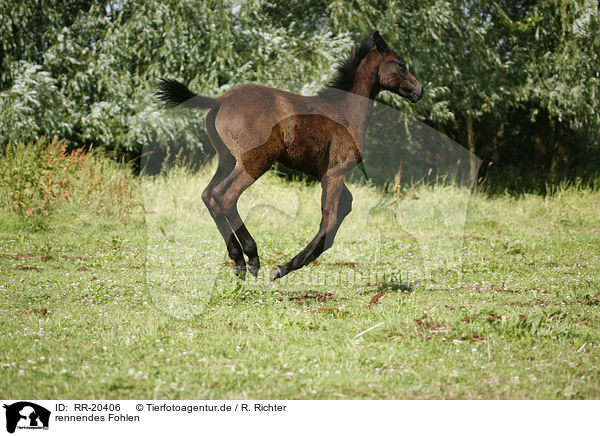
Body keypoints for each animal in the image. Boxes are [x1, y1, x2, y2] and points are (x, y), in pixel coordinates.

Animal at [157, 32, 424, 282]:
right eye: (400, 64)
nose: (419, 90)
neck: (347, 109)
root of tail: (220, 100)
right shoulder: (336, 172)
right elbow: (329, 219)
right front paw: (282, 268)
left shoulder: (326, 175)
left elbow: (342, 210)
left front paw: (289, 265)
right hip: (255, 161)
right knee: (224, 195)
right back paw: (252, 257)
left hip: (228, 159)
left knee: (208, 195)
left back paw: (238, 261)